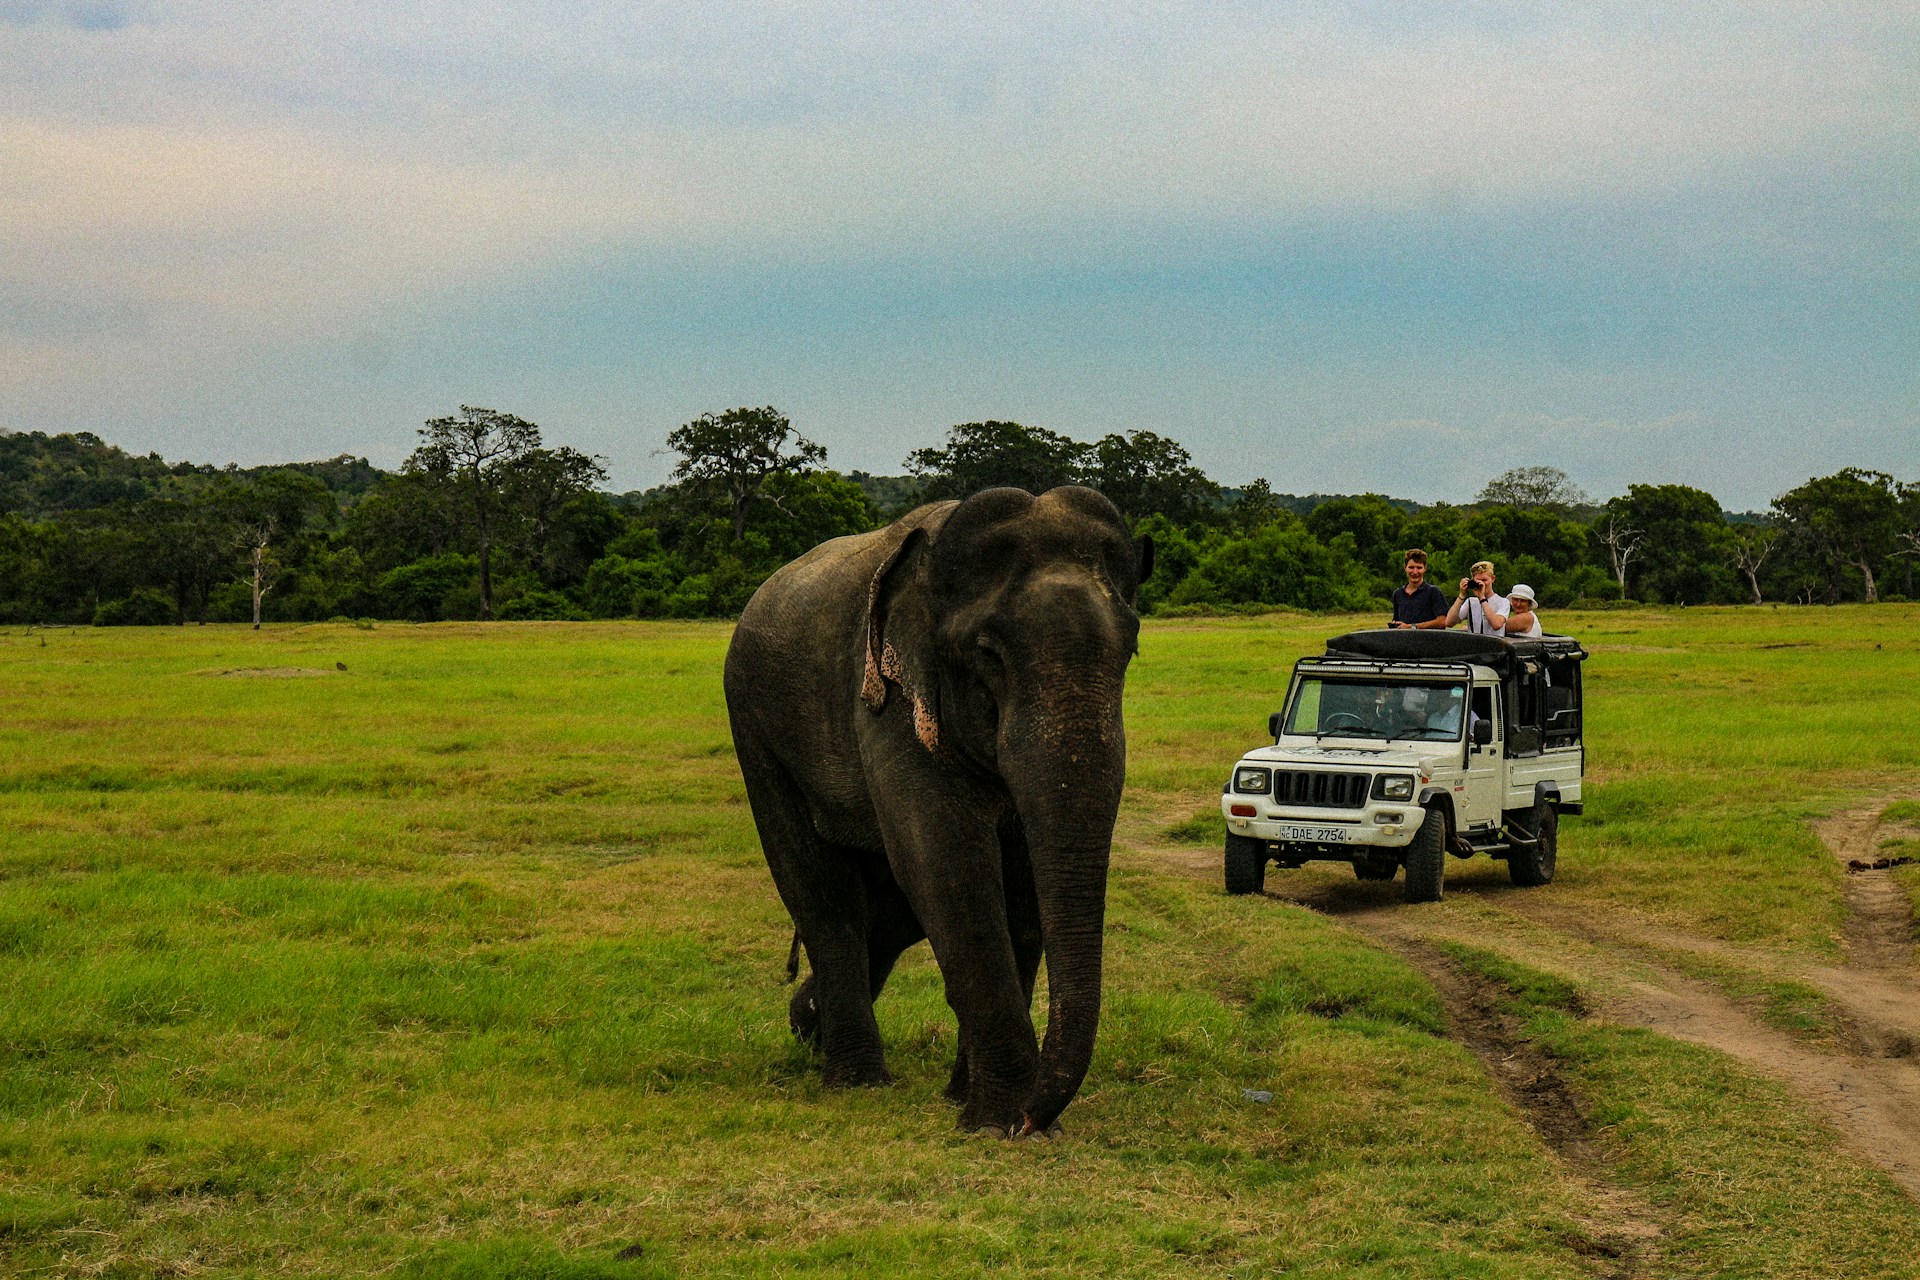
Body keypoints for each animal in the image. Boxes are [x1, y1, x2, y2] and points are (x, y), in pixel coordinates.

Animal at [723, 485, 1152, 1135]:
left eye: (1130, 650)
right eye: (989, 655)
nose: (1035, 1118)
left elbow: (1018, 880)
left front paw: (979, 1106)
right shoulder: (889, 699)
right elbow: (945, 859)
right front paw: (997, 1122)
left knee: (886, 909)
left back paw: (808, 1026)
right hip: (754, 727)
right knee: (821, 891)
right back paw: (855, 1079)